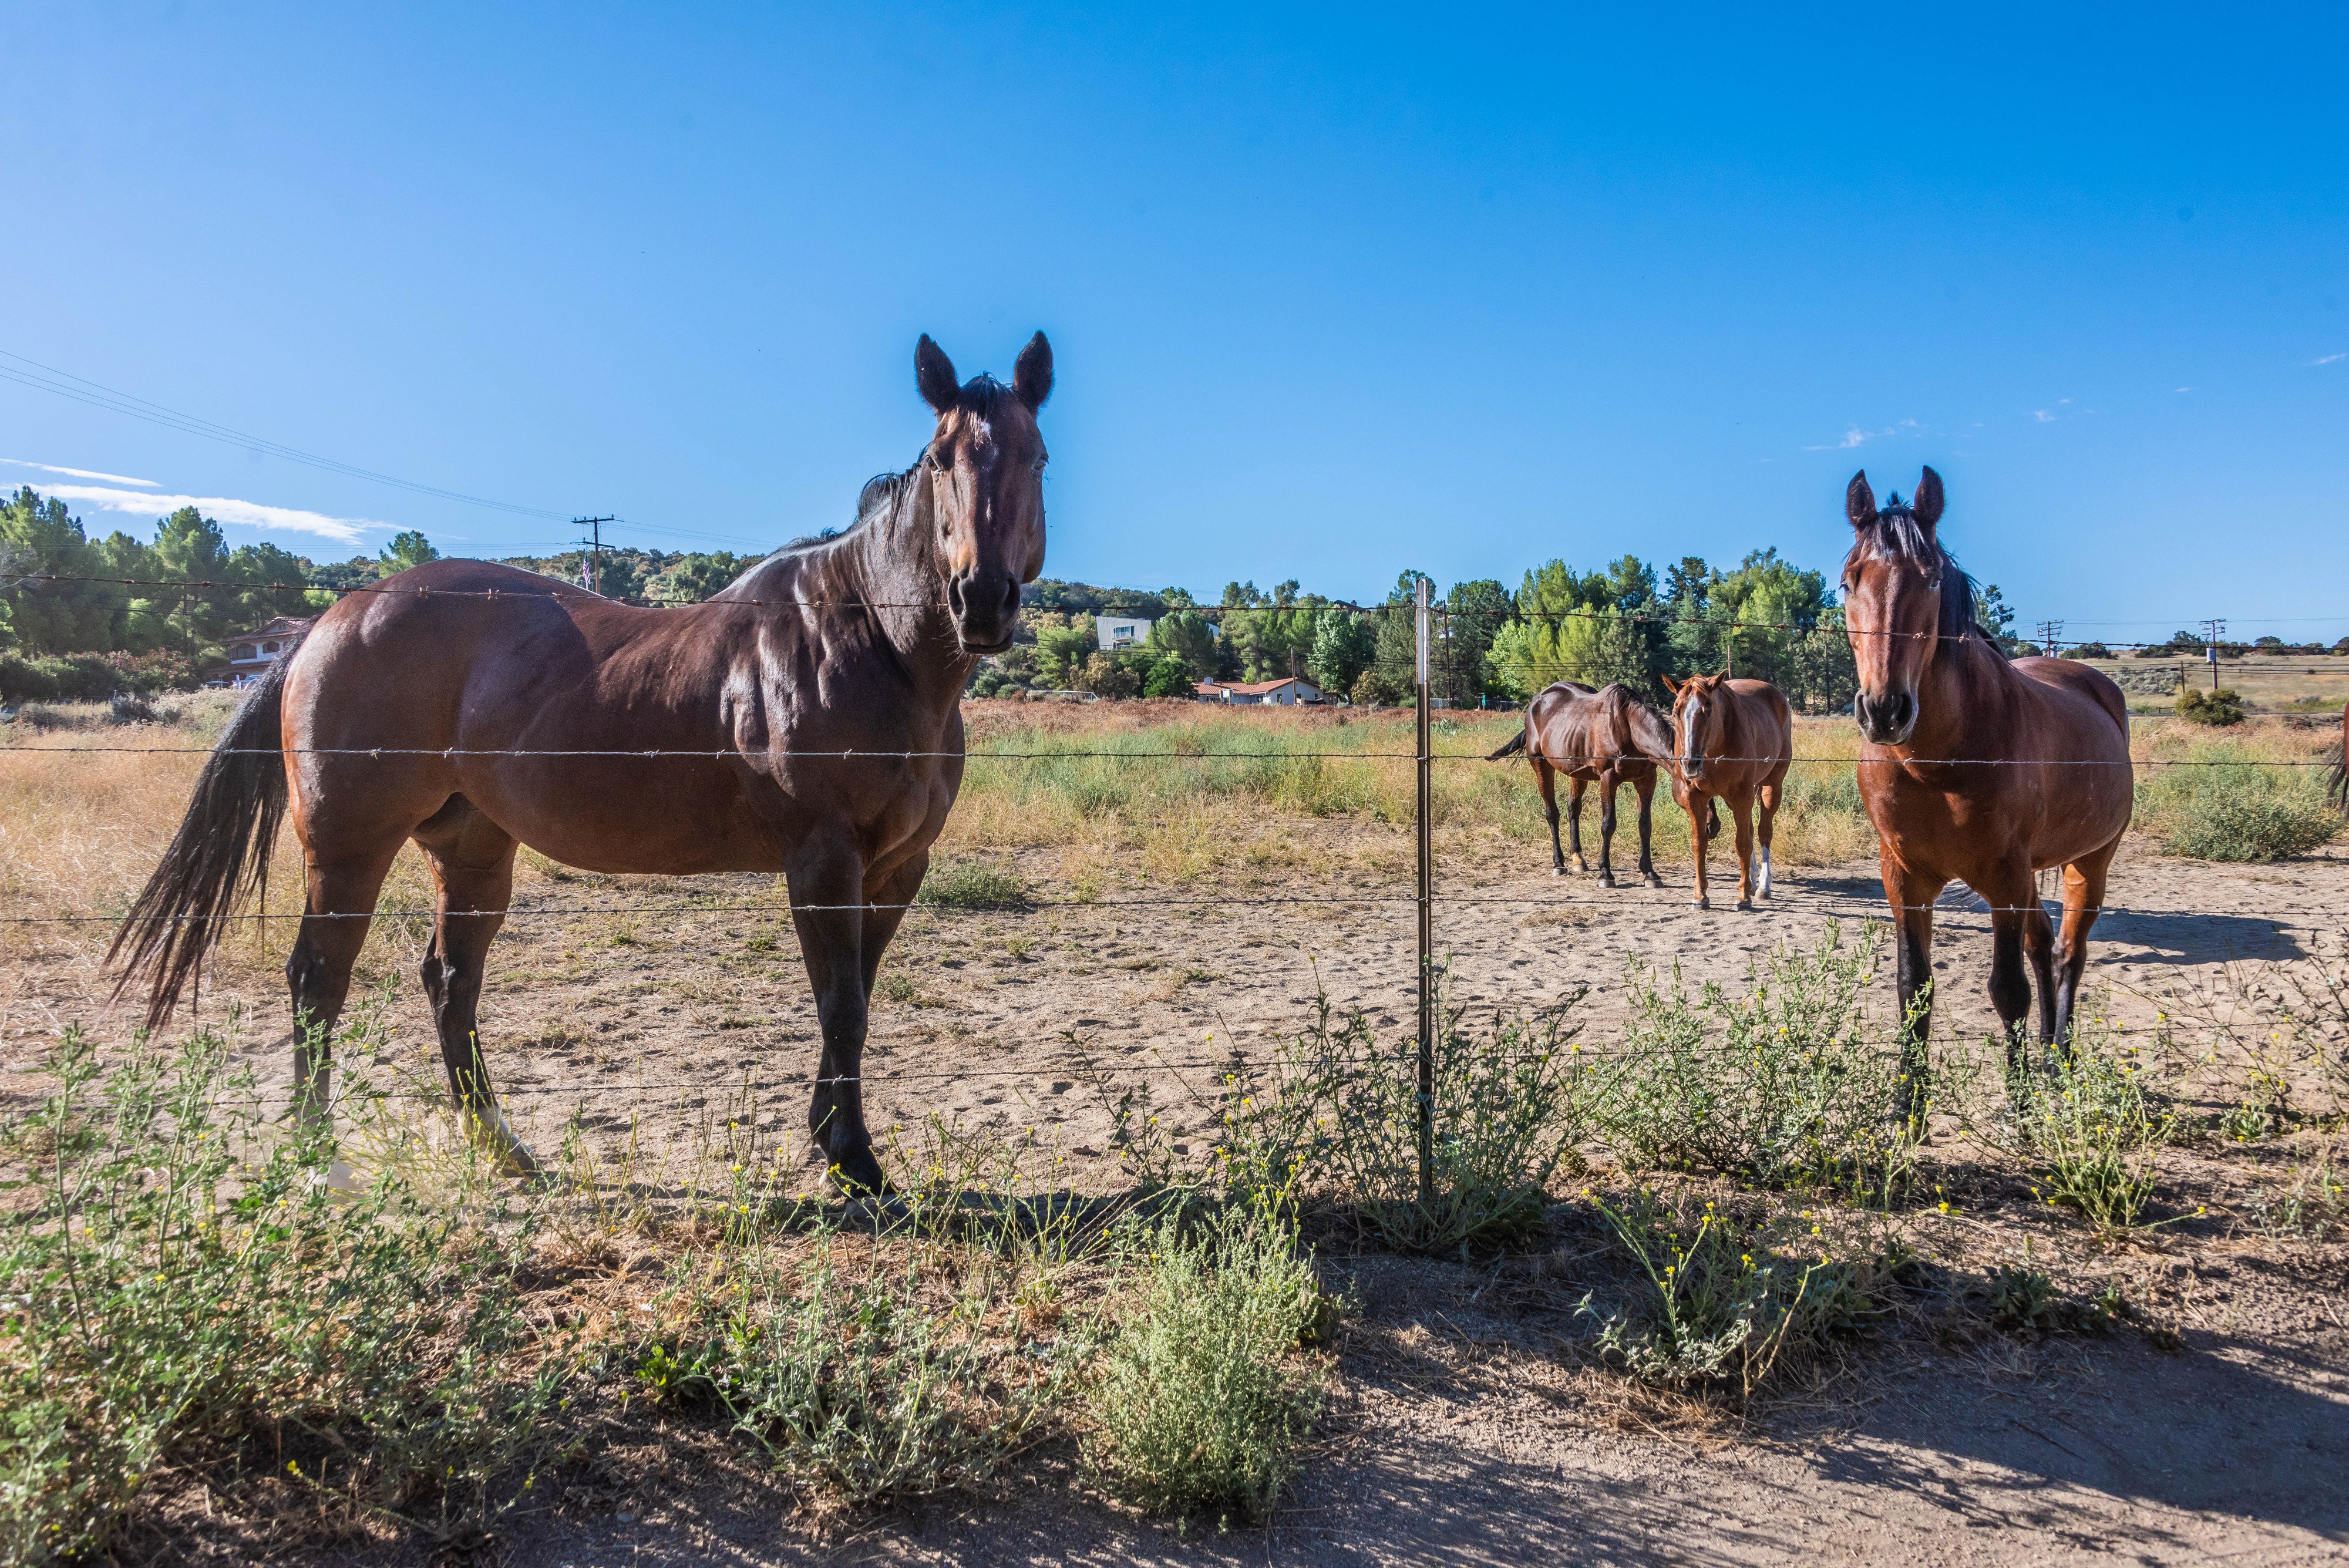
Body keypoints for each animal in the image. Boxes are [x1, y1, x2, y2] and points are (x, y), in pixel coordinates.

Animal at [109, 332, 1054, 1196]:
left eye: (1037, 456)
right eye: (939, 461)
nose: (981, 600)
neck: (867, 640)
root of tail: (328, 620)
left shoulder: (896, 866)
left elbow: (854, 1001)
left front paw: (835, 1141)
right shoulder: (825, 859)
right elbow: (843, 1006)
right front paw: (855, 1161)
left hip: (471, 848)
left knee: (449, 979)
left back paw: (503, 1148)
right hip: (348, 848)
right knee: (318, 980)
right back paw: (321, 1166)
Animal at [1484, 681, 1681, 887]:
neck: (1629, 728)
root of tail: (1536, 702)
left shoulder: (1647, 780)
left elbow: (1645, 825)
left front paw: (1650, 873)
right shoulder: (1608, 779)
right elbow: (1608, 824)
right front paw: (1606, 873)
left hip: (1578, 773)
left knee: (1573, 809)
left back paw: (1578, 859)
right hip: (1541, 765)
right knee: (1552, 813)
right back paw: (1559, 864)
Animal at [1638, 672, 1792, 910]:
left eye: (1708, 710)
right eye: (1675, 712)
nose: (1690, 763)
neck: (1716, 748)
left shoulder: (1743, 794)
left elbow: (1743, 843)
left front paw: (1743, 898)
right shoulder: (1695, 797)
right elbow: (1700, 844)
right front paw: (1700, 896)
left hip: (1772, 785)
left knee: (1763, 831)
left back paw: (1763, 885)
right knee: (1749, 829)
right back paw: (1752, 880)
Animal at [1842, 467, 2133, 1121]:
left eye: (1929, 579)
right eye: (1848, 581)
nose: (1885, 710)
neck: (1937, 762)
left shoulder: (2003, 876)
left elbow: (2007, 990)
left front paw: (2019, 1104)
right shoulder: (1904, 880)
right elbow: (1914, 989)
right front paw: (1908, 1104)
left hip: (2088, 863)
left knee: (2067, 953)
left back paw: (2058, 1060)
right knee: (2044, 945)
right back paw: (2047, 1053)